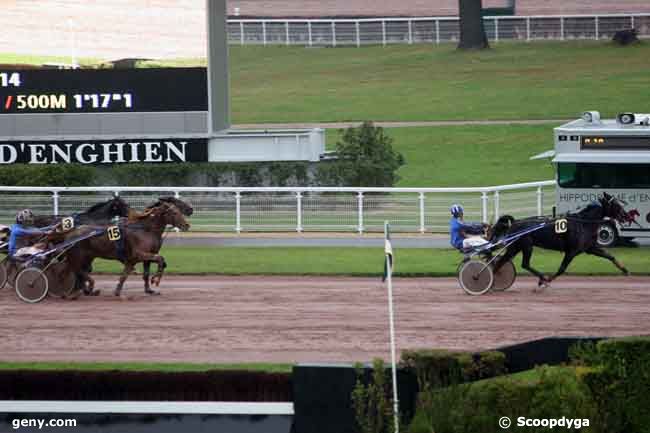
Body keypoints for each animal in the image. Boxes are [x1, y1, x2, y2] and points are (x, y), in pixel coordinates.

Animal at [492, 192, 632, 286]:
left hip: (516, 247)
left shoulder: (589, 248)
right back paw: (542, 278)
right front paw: (547, 281)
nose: (626, 216)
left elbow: (609, 256)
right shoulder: (572, 251)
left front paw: (625, 269)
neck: (583, 223)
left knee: (502, 262)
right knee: (524, 264)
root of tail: (515, 222)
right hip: (526, 245)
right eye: (616, 204)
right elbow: (561, 269)